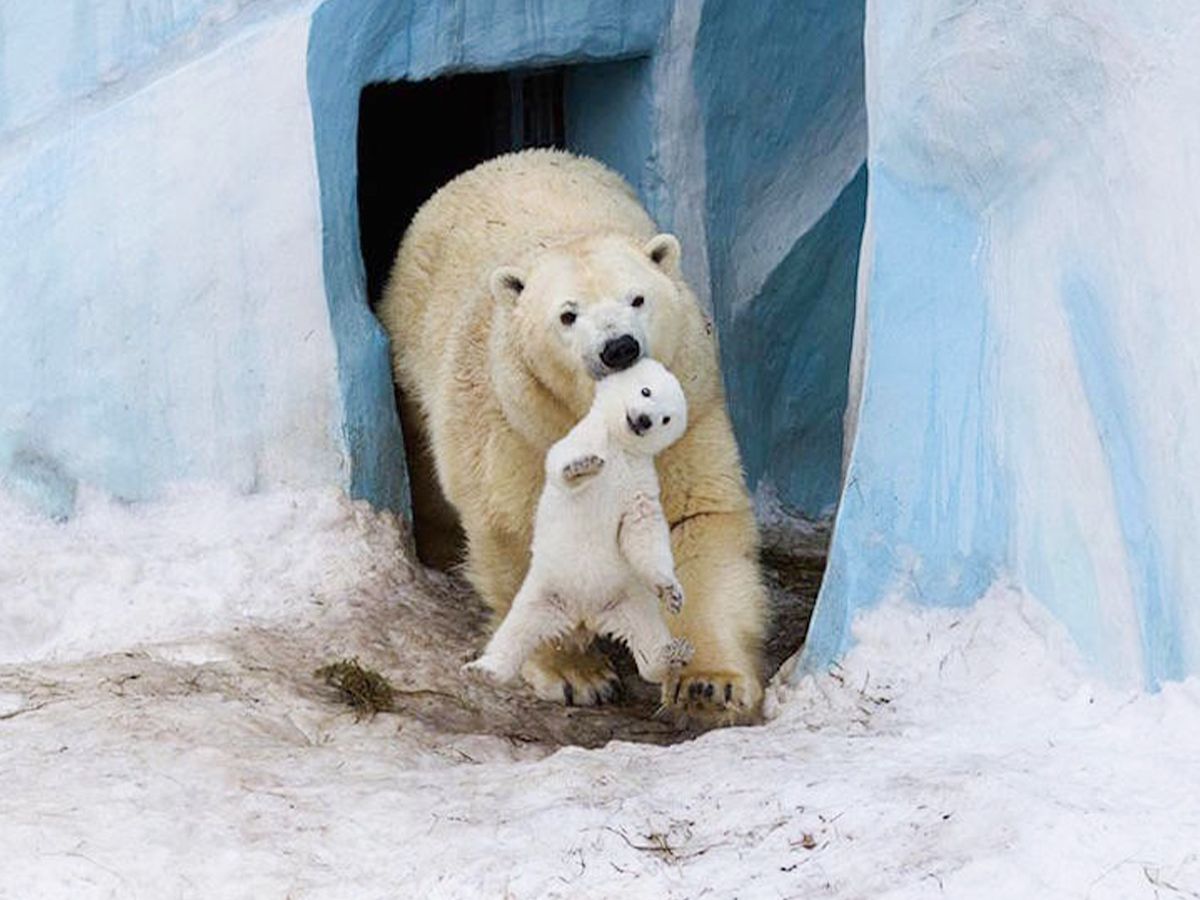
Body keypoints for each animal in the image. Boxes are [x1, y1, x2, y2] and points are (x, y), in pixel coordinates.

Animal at [465, 360, 700, 691]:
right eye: (646, 390)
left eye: (666, 418)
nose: (643, 420)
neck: (618, 446)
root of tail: (585, 615)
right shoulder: (582, 438)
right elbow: (561, 464)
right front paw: (583, 466)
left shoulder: (638, 479)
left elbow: (642, 528)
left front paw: (672, 592)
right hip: (546, 592)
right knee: (517, 630)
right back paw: (484, 669)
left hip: (627, 600)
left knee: (647, 637)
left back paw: (671, 657)